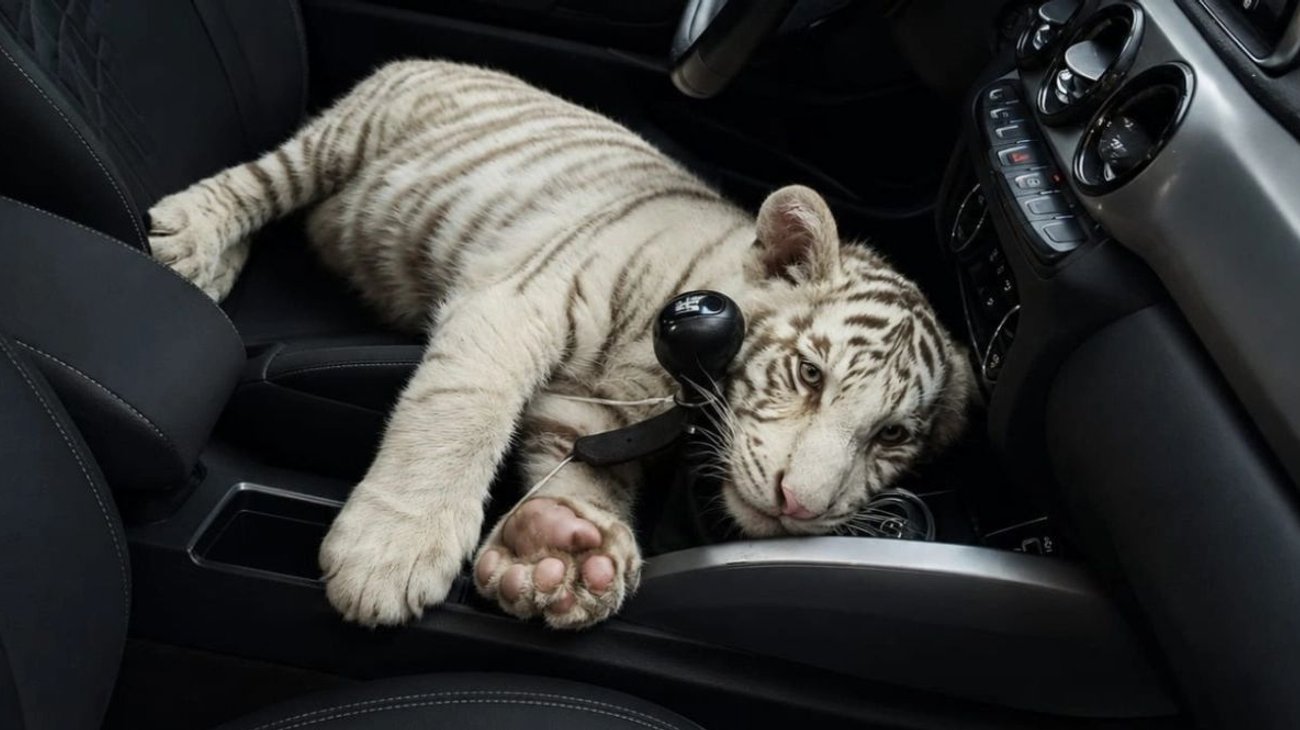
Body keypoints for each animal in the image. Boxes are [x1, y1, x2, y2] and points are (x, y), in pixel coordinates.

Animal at [147, 59, 975, 630]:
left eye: (891, 436)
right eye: (809, 374)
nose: (799, 505)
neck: (667, 376)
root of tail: (446, 58)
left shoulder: (594, 410)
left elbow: (583, 475)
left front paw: (563, 553)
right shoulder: (516, 303)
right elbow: (458, 416)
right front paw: (389, 553)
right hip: (345, 137)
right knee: (262, 181)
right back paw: (190, 240)